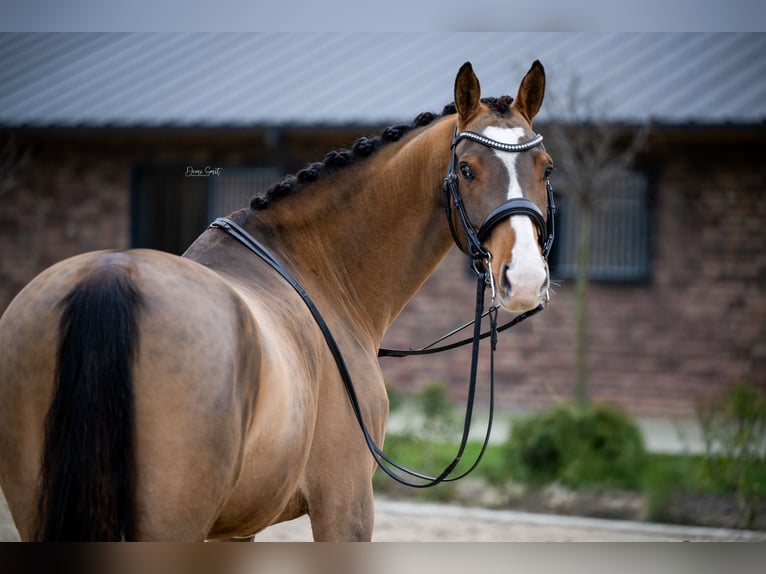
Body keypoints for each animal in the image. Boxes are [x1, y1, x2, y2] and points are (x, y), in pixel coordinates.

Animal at [0, 60, 552, 544]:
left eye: (545, 169)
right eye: (466, 169)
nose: (525, 278)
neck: (317, 270)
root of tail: (111, 274)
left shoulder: (235, 527)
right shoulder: (346, 506)